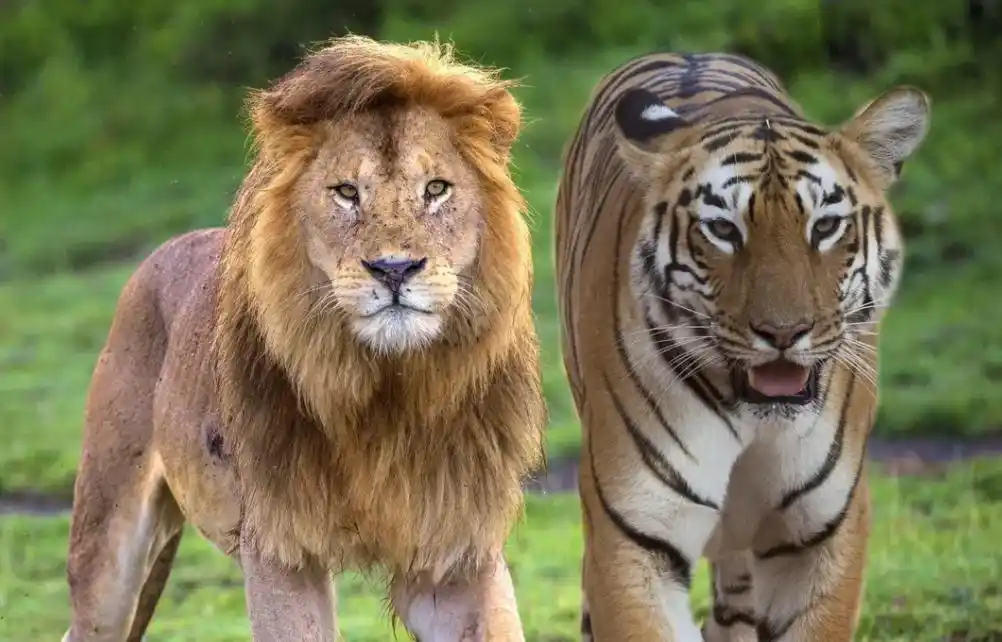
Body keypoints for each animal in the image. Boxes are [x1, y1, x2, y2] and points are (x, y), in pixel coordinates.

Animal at [553, 51, 930, 641]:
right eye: (723, 230)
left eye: (825, 226)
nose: (783, 332)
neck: (757, 420)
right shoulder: (634, 535)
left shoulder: (822, 534)